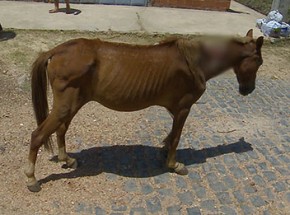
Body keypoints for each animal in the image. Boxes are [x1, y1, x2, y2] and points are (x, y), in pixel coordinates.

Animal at [26, 29, 264, 191]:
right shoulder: (184, 108)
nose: (248, 90)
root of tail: (56, 51)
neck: (196, 62)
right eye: (259, 62)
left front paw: (163, 150)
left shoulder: (175, 109)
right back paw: (31, 179)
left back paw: (67, 159)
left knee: (61, 130)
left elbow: (171, 134)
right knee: (38, 135)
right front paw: (173, 164)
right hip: (66, 106)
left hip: (72, 104)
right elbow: (176, 137)